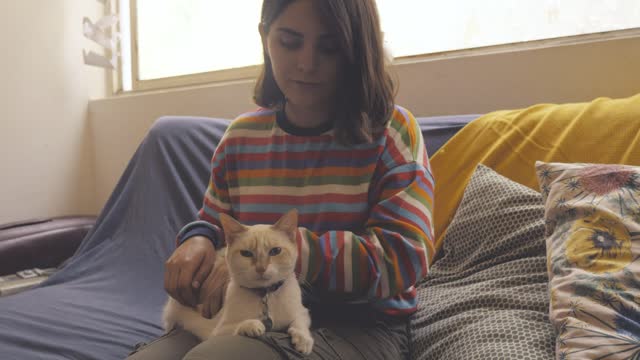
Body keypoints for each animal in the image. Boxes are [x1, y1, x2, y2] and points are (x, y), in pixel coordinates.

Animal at [161, 208, 314, 354]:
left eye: (275, 251)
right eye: (246, 253)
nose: (261, 268)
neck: (265, 295)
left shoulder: (302, 312)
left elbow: (299, 322)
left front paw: (303, 341)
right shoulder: (217, 332)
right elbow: (239, 325)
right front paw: (253, 325)